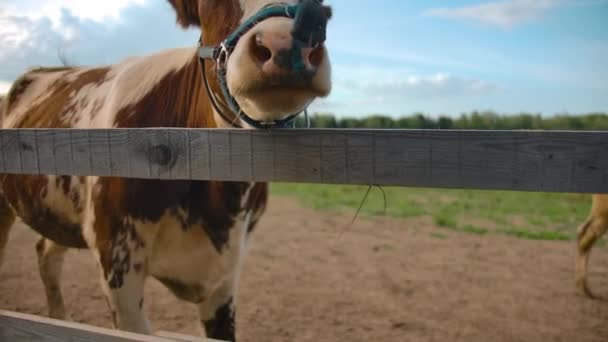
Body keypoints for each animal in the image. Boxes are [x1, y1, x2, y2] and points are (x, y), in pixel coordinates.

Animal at [0, 1, 332, 340]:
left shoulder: (226, 273)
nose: (284, 42)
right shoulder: (116, 261)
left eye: (321, 8)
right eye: (210, 4)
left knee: (47, 254)